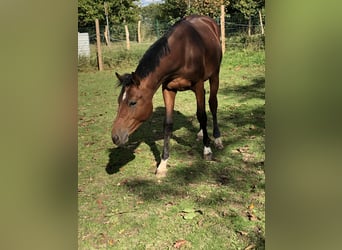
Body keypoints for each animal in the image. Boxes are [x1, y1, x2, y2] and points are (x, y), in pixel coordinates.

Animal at [112, 15, 223, 178]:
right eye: (119, 102)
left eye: (132, 102)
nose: (115, 137)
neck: (183, 51)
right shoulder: (168, 89)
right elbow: (168, 124)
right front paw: (163, 163)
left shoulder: (198, 85)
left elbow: (202, 115)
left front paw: (207, 150)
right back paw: (201, 133)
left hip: (215, 76)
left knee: (212, 105)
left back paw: (217, 138)